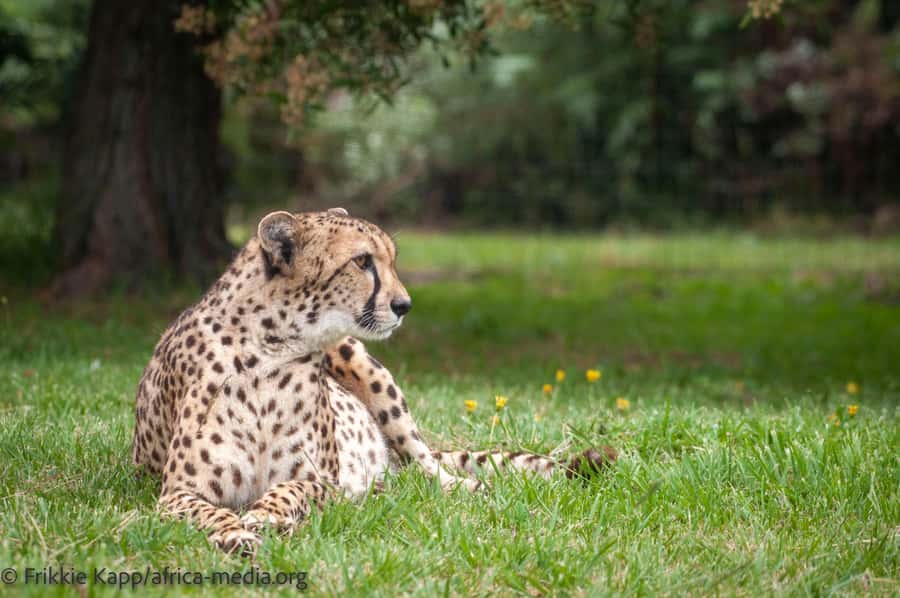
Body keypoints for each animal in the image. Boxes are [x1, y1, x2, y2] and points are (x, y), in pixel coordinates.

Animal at [131, 207, 617, 554]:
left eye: (390, 260)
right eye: (363, 261)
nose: (405, 305)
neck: (271, 350)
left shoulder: (322, 480)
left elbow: (289, 488)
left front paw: (266, 516)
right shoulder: (175, 493)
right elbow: (210, 513)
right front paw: (236, 532)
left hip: (362, 363)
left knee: (429, 469)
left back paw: (465, 489)